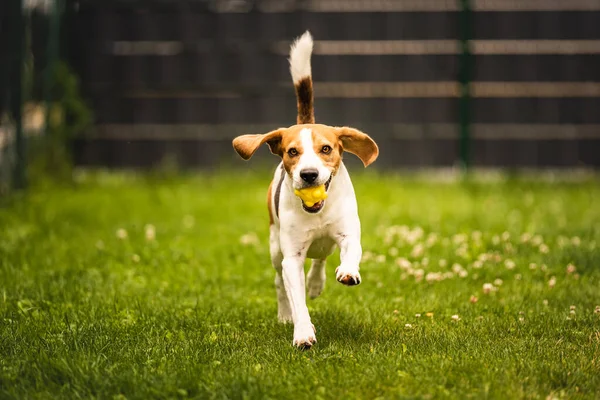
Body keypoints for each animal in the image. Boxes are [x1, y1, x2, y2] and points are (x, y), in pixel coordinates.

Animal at [232, 31, 378, 348]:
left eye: (326, 149)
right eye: (292, 152)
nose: (309, 174)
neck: (315, 212)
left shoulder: (348, 232)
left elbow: (351, 251)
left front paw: (348, 271)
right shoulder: (292, 258)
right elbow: (296, 298)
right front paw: (302, 332)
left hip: (325, 243)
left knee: (321, 257)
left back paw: (316, 282)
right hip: (275, 249)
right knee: (279, 283)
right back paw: (286, 313)